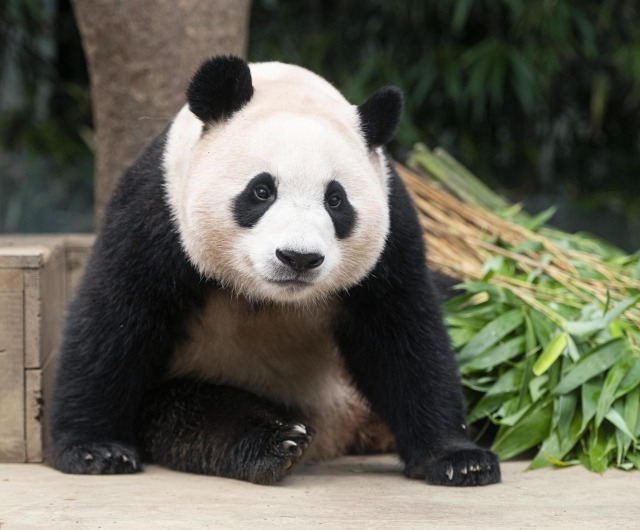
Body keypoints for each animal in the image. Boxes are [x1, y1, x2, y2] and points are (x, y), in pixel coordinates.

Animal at [48, 55, 500, 484]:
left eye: (336, 200)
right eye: (261, 191)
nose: (298, 258)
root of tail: (347, 429)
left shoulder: (393, 232)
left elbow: (404, 337)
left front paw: (458, 458)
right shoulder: (157, 213)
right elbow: (116, 322)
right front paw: (94, 449)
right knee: (201, 415)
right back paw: (278, 443)